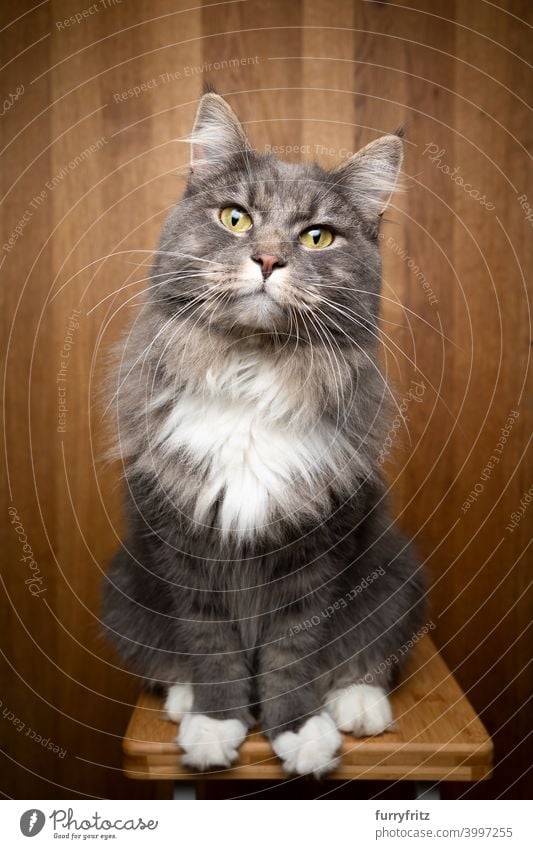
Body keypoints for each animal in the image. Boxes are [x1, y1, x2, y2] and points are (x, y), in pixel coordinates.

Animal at [104, 91, 426, 776]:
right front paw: (214, 725)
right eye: (235, 219)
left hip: (397, 575)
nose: (270, 259)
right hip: (124, 590)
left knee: (369, 653)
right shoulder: (182, 544)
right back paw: (181, 700)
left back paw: (359, 707)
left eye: (316, 236)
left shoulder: (317, 547)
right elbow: (212, 644)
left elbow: (293, 652)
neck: (253, 368)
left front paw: (300, 732)